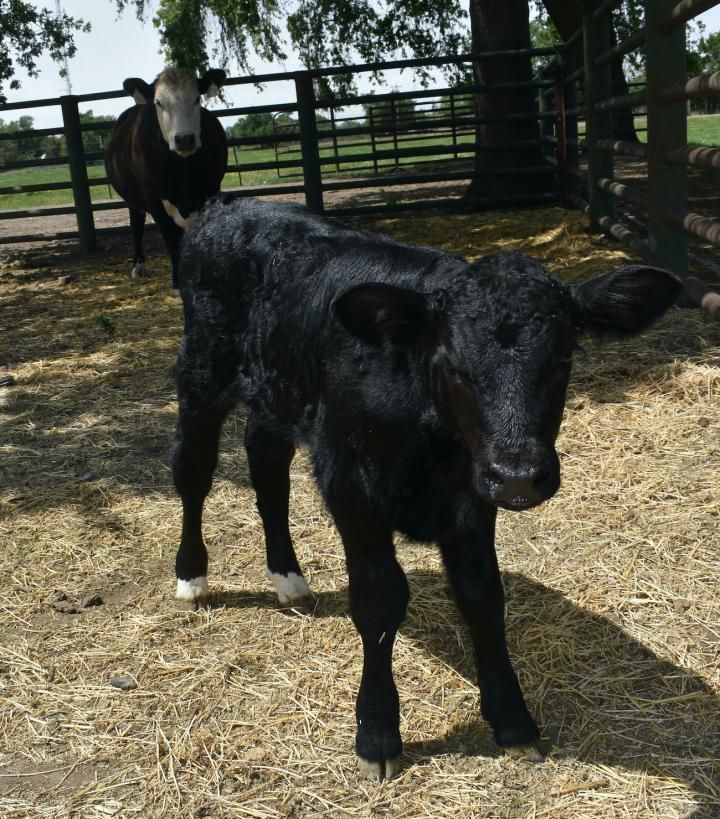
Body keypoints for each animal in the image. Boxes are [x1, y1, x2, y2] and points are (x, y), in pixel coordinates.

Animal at [104, 67, 228, 289]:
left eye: (197, 98)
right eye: (159, 102)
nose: (184, 138)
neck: (183, 169)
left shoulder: (211, 188)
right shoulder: (153, 198)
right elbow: (171, 237)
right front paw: (178, 283)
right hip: (134, 201)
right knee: (137, 226)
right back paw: (138, 266)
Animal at [171, 196, 681, 780]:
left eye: (564, 361)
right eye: (454, 365)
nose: (518, 474)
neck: (430, 439)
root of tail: (231, 205)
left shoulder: (472, 496)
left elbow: (483, 596)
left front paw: (513, 722)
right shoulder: (351, 486)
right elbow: (379, 599)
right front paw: (377, 734)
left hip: (275, 391)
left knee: (267, 466)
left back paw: (289, 580)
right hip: (201, 374)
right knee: (194, 470)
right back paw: (191, 578)